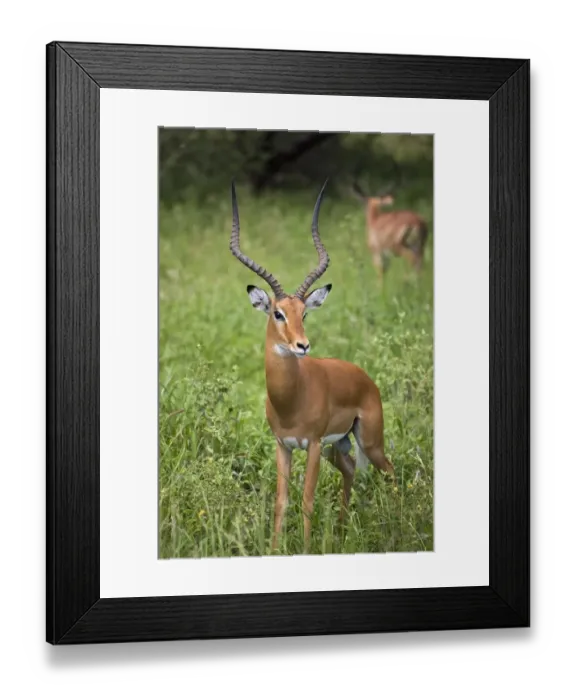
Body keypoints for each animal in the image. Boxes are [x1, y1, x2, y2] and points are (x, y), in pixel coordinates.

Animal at [229, 179, 396, 551]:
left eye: (304, 313)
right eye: (278, 313)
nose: (302, 345)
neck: (292, 399)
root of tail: (365, 378)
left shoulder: (314, 445)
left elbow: (306, 499)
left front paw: (305, 549)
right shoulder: (283, 445)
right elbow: (282, 500)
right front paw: (275, 550)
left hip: (369, 440)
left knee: (391, 471)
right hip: (340, 446)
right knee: (351, 469)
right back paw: (343, 529)